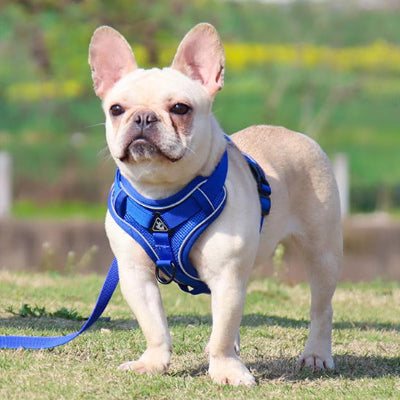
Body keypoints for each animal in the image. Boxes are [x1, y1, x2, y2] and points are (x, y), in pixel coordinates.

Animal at [89, 23, 342, 386]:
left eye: (180, 108)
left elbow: (222, 328)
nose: (144, 118)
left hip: (322, 252)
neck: (163, 196)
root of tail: (294, 133)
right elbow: (154, 325)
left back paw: (317, 355)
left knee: (321, 307)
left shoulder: (226, 274)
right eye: (116, 110)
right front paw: (153, 363)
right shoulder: (136, 275)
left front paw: (225, 369)